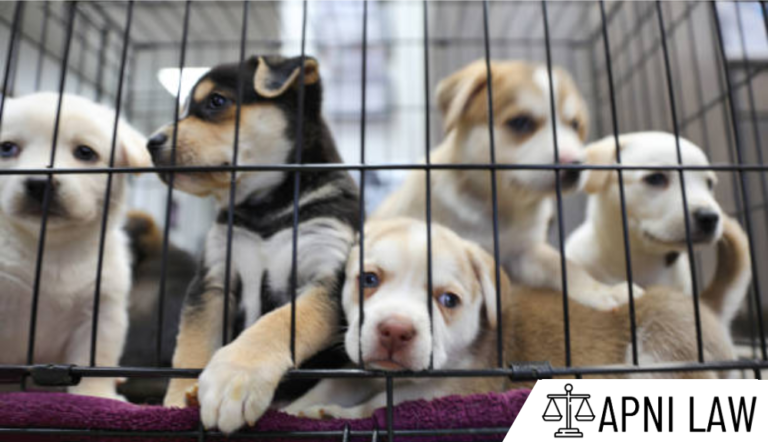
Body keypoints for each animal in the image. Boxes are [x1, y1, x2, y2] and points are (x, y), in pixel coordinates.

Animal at [0, 93, 150, 400]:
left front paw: (98, 395)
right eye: (7, 148)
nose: (40, 183)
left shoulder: (102, 313)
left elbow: (96, 361)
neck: (52, 248)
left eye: (85, 152)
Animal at [147, 55, 360, 432]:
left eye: (217, 101)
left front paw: (234, 377)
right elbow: (191, 346)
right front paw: (175, 402)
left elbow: (279, 321)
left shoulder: (327, 275)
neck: (266, 208)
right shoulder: (212, 279)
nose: (151, 142)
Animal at [284, 219, 508, 420]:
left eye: (449, 300)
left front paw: (337, 414)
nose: (395, 330)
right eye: (369, 279)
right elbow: (335, 384)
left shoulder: (455, 384)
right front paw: (290, 410)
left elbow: (382, 404)